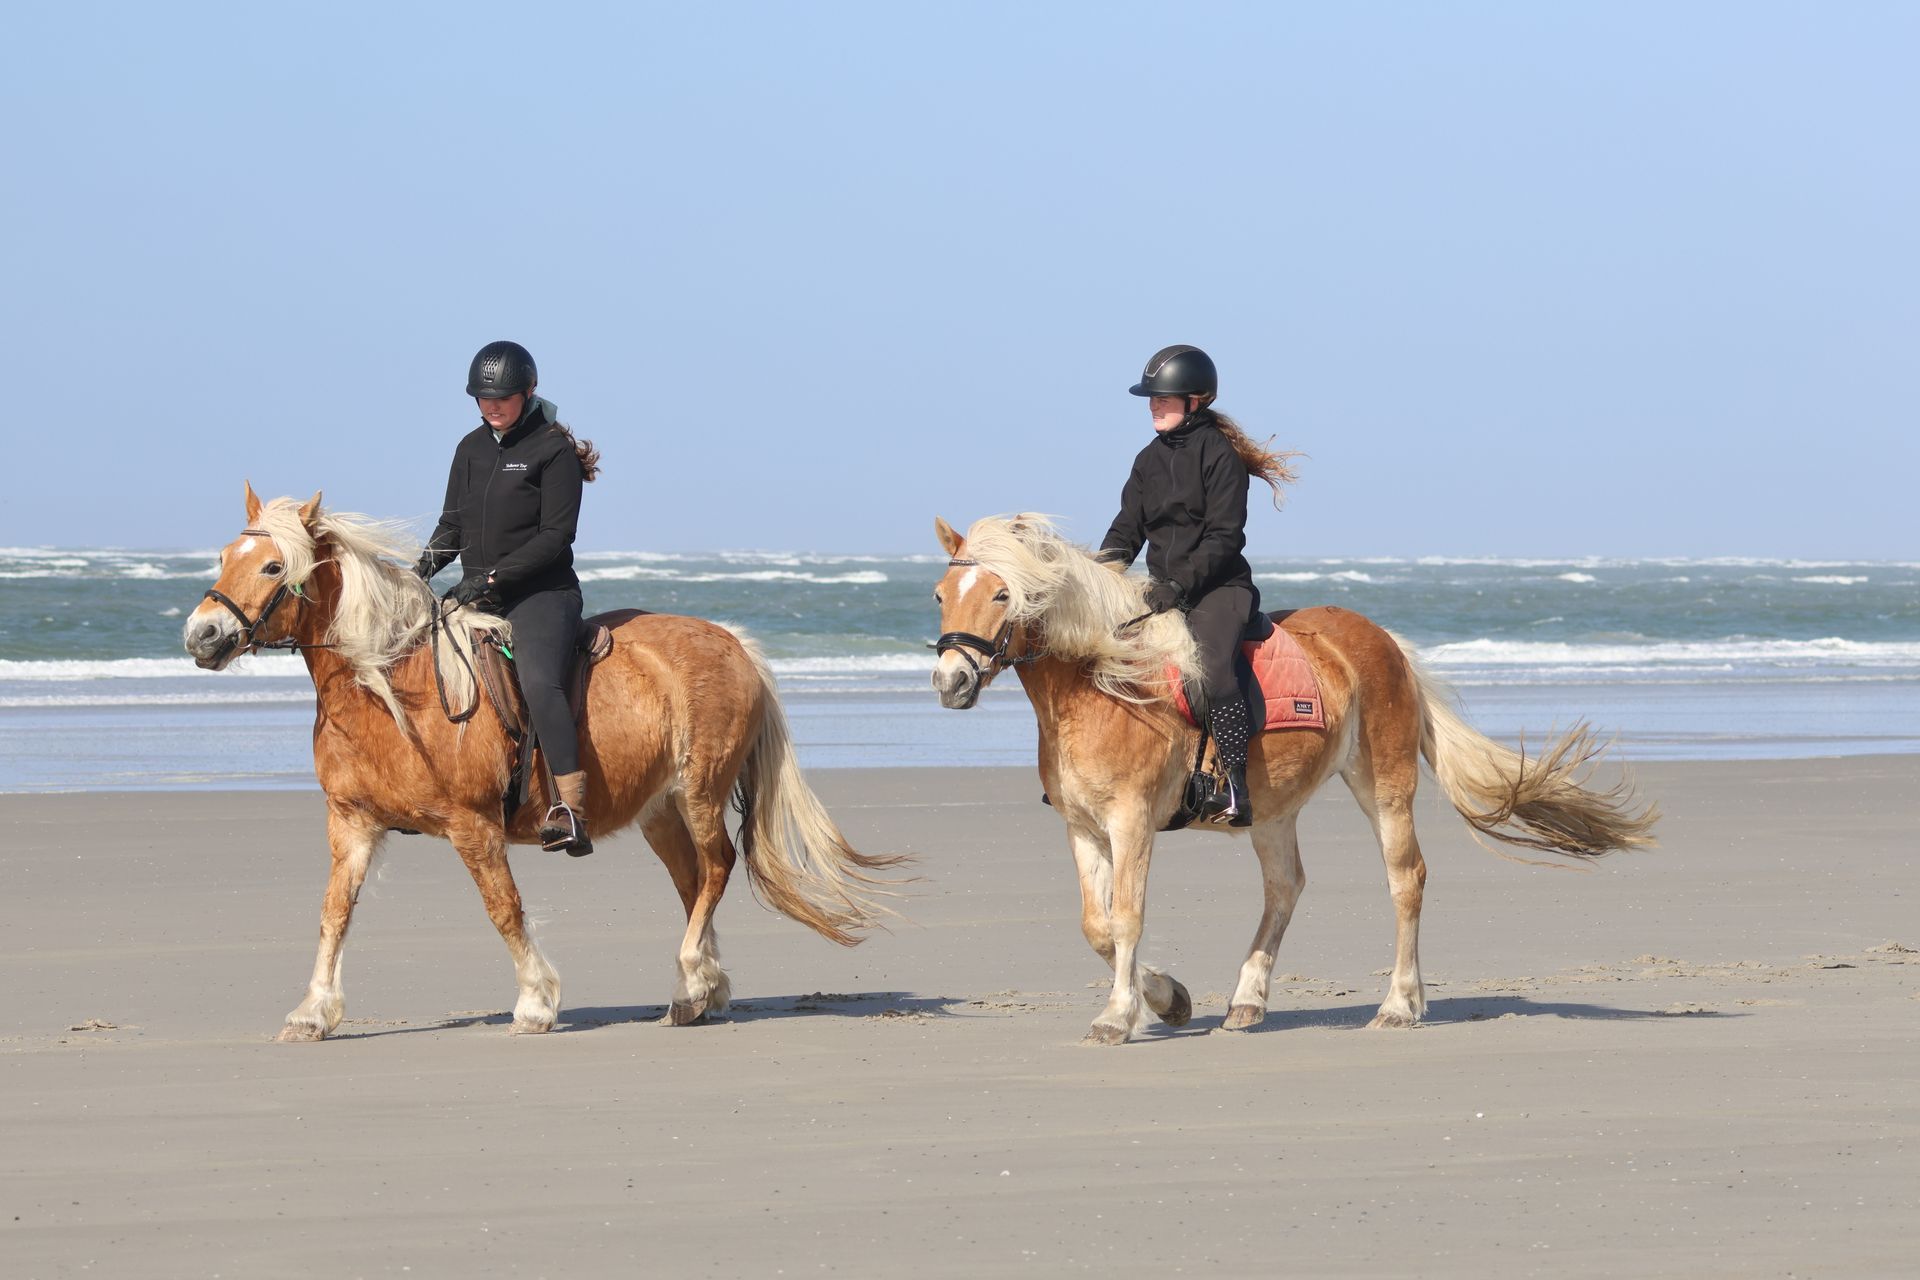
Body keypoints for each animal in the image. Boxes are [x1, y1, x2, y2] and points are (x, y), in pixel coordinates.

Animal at [183, 483, 897, 1041]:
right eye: (224, 557)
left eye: (273, 567)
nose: (201, 636)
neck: (390, 688)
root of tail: (732, 640)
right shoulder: (351, 823)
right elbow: (334, 915)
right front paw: (312, 1013)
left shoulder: (472, 826)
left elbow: (504, 908)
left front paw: (535, 1002)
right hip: (659, 811)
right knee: (695, 882)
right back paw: (701, 992)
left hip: (700, 789)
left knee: (717, 868)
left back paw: (692, 982)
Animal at [929, 514, 1657, 1045]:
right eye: (939, 595)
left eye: (1003, 593)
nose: (949, 683)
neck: (1106, 683)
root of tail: (1383, 640)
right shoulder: (1083, 827)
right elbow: (1096, 926)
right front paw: (1168, 1000)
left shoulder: (1132, 822)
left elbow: (1127, 918)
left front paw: (1118, 1017)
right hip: (1271, 809)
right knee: (1285, 887)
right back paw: (1247, 1001)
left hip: (1383, 785)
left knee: (1406, 878)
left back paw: (1399, 1005)